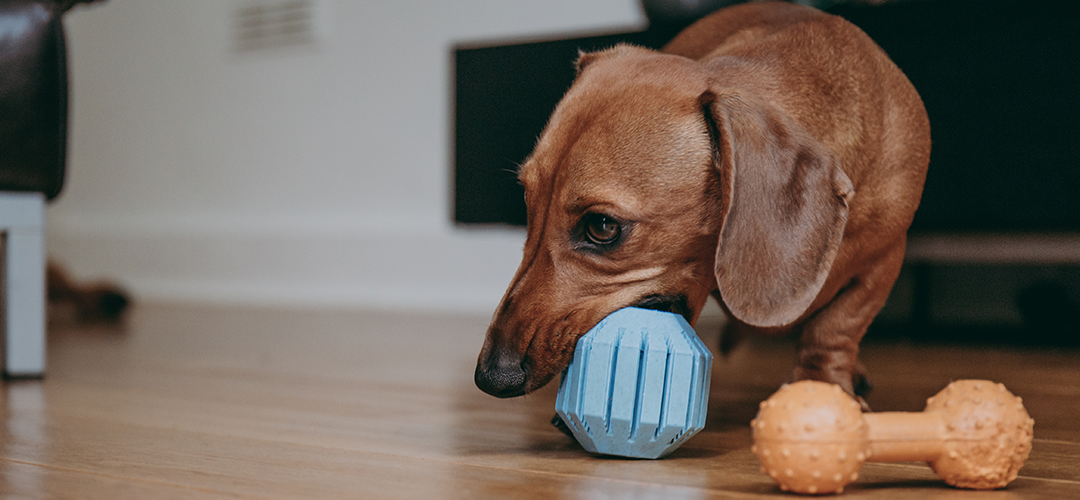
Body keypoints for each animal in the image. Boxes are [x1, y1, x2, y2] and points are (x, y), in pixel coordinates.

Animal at [473, 0, 928, 408]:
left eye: (602, 226)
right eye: (528, 201)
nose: (492, 377)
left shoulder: (886, 258)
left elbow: (837, 327)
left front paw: (822, 386)